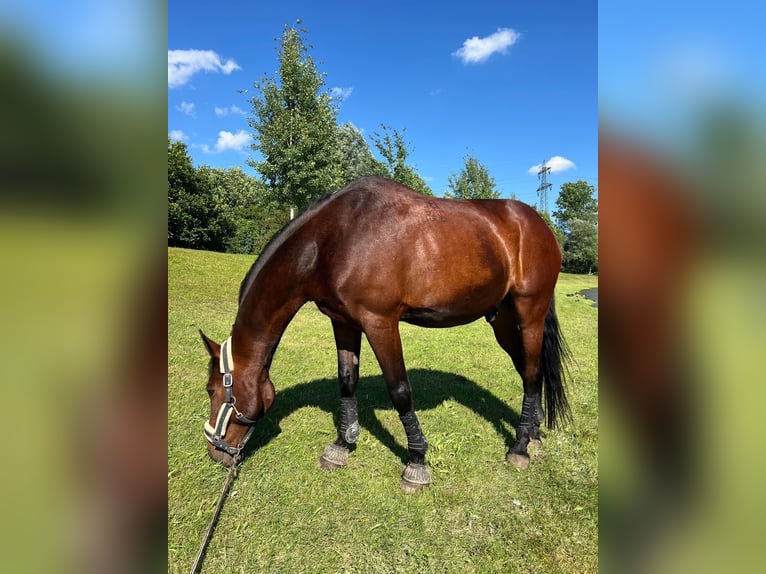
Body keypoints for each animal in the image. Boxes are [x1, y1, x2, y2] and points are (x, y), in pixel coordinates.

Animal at [198, 176, 568, 490]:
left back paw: (519, 447)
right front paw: (341, 446)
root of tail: (537, 224)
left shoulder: (380, 322)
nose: (215, 451)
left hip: (529, 312)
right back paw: (533, 433)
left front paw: (417, 462)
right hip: (503, 320)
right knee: (529, 370)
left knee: (532, 373)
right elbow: (347, 381)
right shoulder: (343, 322)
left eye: (212, 390)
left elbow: (400, 389)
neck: (334, 239)